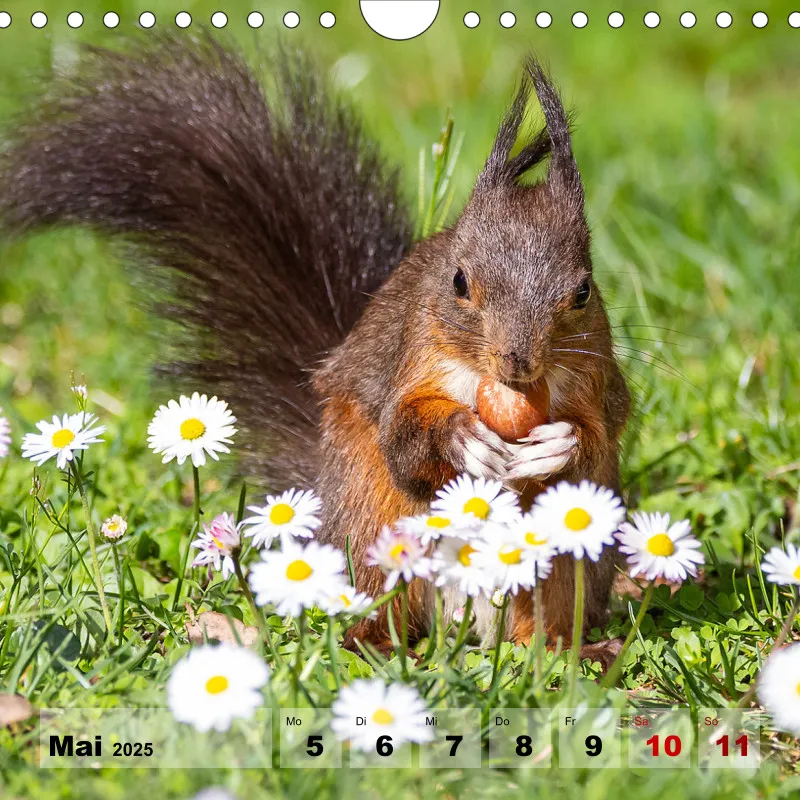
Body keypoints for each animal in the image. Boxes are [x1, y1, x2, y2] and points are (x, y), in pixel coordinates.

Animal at [0, 34, 630, 666]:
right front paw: (460, 437)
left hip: (566, 561)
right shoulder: (411, 355)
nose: (517, 361)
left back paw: (574, 651)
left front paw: (559, 444)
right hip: (370, 517)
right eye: (458, 281)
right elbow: (402, 437)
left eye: (583, 292)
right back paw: (373, 640)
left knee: (544, 620)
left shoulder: (596, 383)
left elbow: (596, 442)